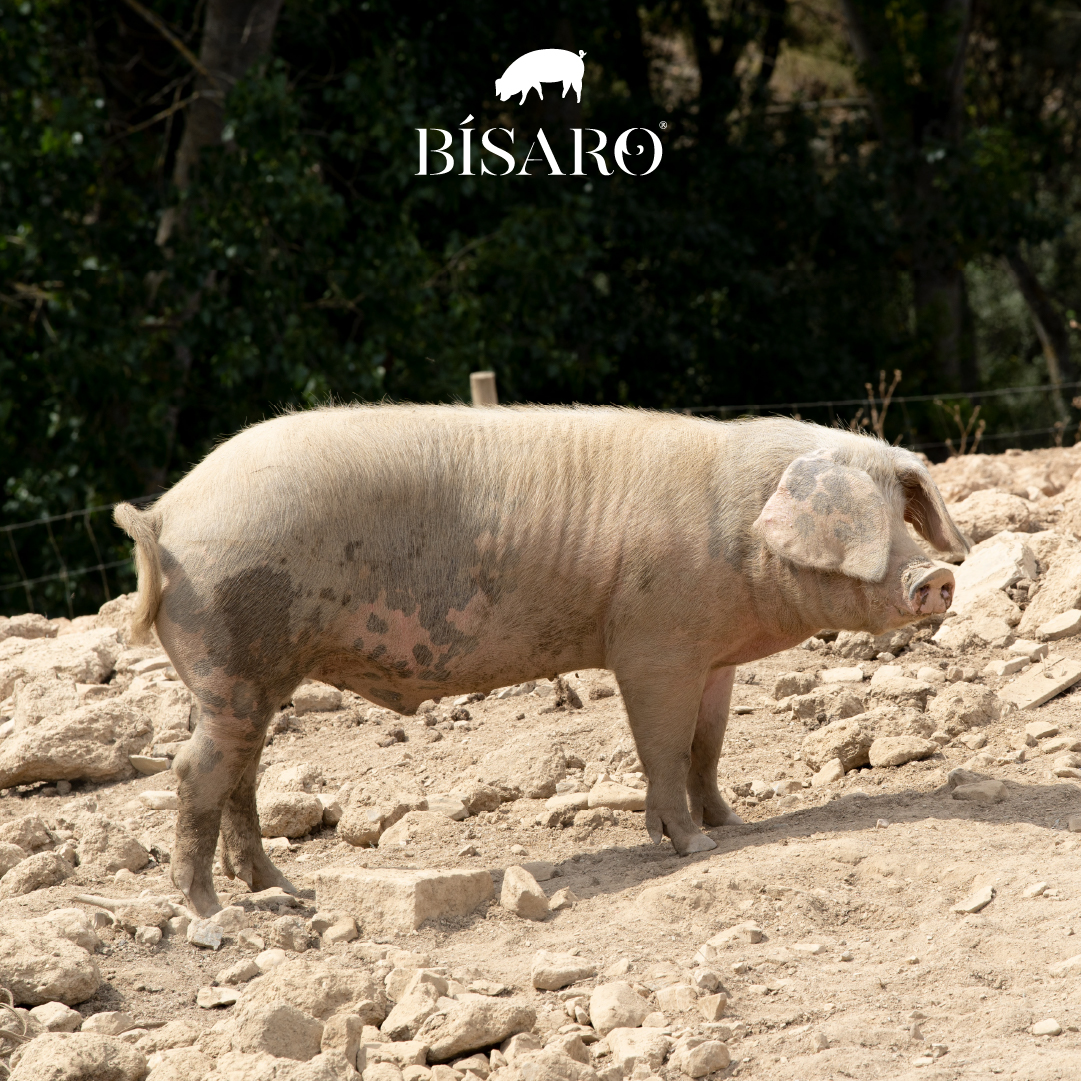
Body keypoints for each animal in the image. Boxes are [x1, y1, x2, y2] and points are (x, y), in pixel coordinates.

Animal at [114, 406, 963, 915]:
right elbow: (661, 744)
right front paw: (694, 844)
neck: (742, 532)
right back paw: (209, 913)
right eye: (869, 524)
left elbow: (707, 744)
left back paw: (285, 891)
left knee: (241, 774)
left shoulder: (714, 656)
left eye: (904, 513)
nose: (935, 575)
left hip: (245, 678)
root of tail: (165, 514)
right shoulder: (651, 645)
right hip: (232, 656)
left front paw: (735, 821)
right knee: (196, 771)